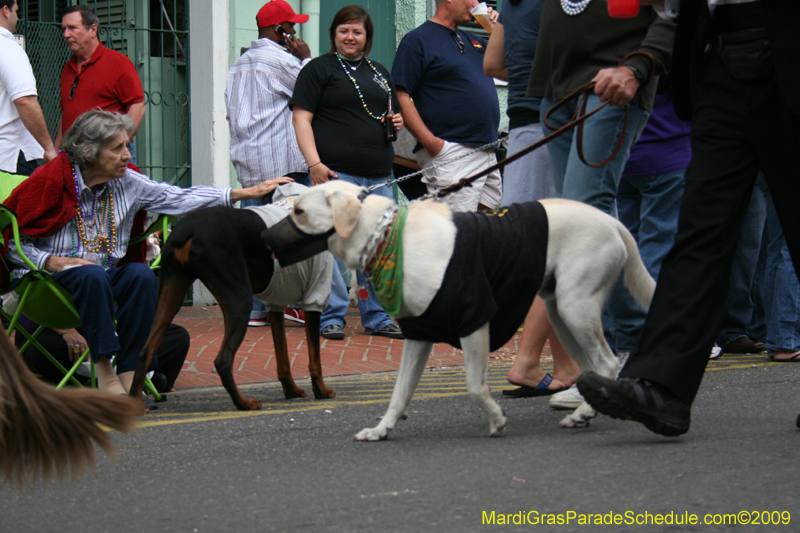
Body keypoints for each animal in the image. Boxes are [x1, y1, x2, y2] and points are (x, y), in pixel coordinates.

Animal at [129, 206, 334, 410]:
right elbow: (315, 357)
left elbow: (282, 355)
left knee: (144, 352)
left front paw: (291, 390)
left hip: (170, 292)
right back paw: (243, 402)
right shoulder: (315, 291)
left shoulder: (276, 302)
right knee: (223, 361)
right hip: (239, 298)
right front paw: (321, 390)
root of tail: (187, 229)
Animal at [270, 181, 656, 438]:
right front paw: (382, 429)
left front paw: (496, 419)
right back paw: (584, 411)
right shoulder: (418, 335)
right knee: (594, 366)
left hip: (575, 306)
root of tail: (611, 221)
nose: (265, 241)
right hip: (561, 312)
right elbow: (400, 392)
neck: (387, 236)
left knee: (607, 363)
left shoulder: (474, 322)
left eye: (299, 211)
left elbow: (474, 385)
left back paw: (589, 409)